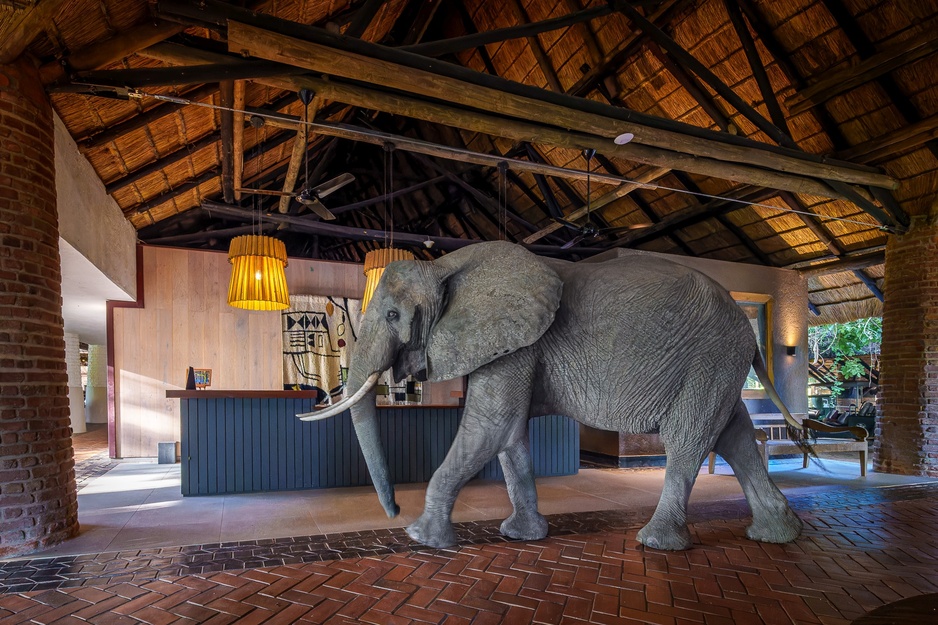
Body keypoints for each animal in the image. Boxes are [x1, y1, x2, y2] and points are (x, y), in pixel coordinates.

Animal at [299, 241, 803, 551]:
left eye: (392, 314)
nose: (393, 510)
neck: (443, 264)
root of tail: (747, 328)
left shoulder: (517, 343)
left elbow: (490, 425)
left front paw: (420, 538)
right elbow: (509, 436)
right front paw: (522, 536)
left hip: (708, 357)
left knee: (689, 439)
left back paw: (656, 542)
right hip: (718, 364)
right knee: (734, 434)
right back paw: (778, 534)